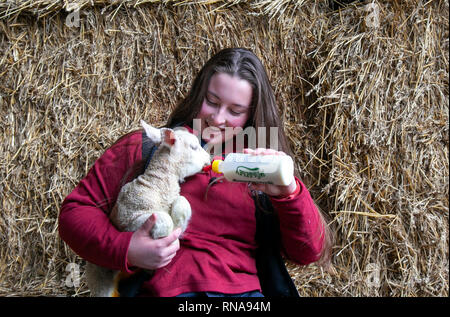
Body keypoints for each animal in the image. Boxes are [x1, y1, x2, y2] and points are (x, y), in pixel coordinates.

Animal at [85, 119, 211, 296]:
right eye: (194, 147)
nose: (209, 157)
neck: (156, 188)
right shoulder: (129, 220)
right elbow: (164, 219)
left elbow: (183, 204)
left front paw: (177, 228)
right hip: (101, 280)